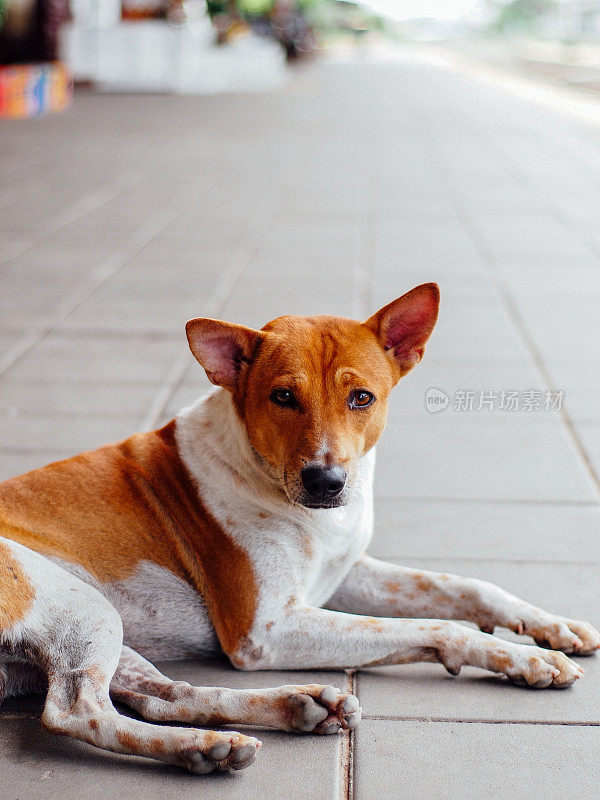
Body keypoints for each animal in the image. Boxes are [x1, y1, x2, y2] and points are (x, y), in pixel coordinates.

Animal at [1, 282, 600, 776]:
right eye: (283, 397)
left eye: (362, 398)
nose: (326, 481)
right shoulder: (265, 629)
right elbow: (441, 625)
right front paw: (518, 653)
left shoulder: (345, 573)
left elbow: (467, 586)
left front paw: (547, 633)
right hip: (81, 604)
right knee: (77, 711)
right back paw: (201, 745)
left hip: (103, 624)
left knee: (162, 694)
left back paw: (279, 713)